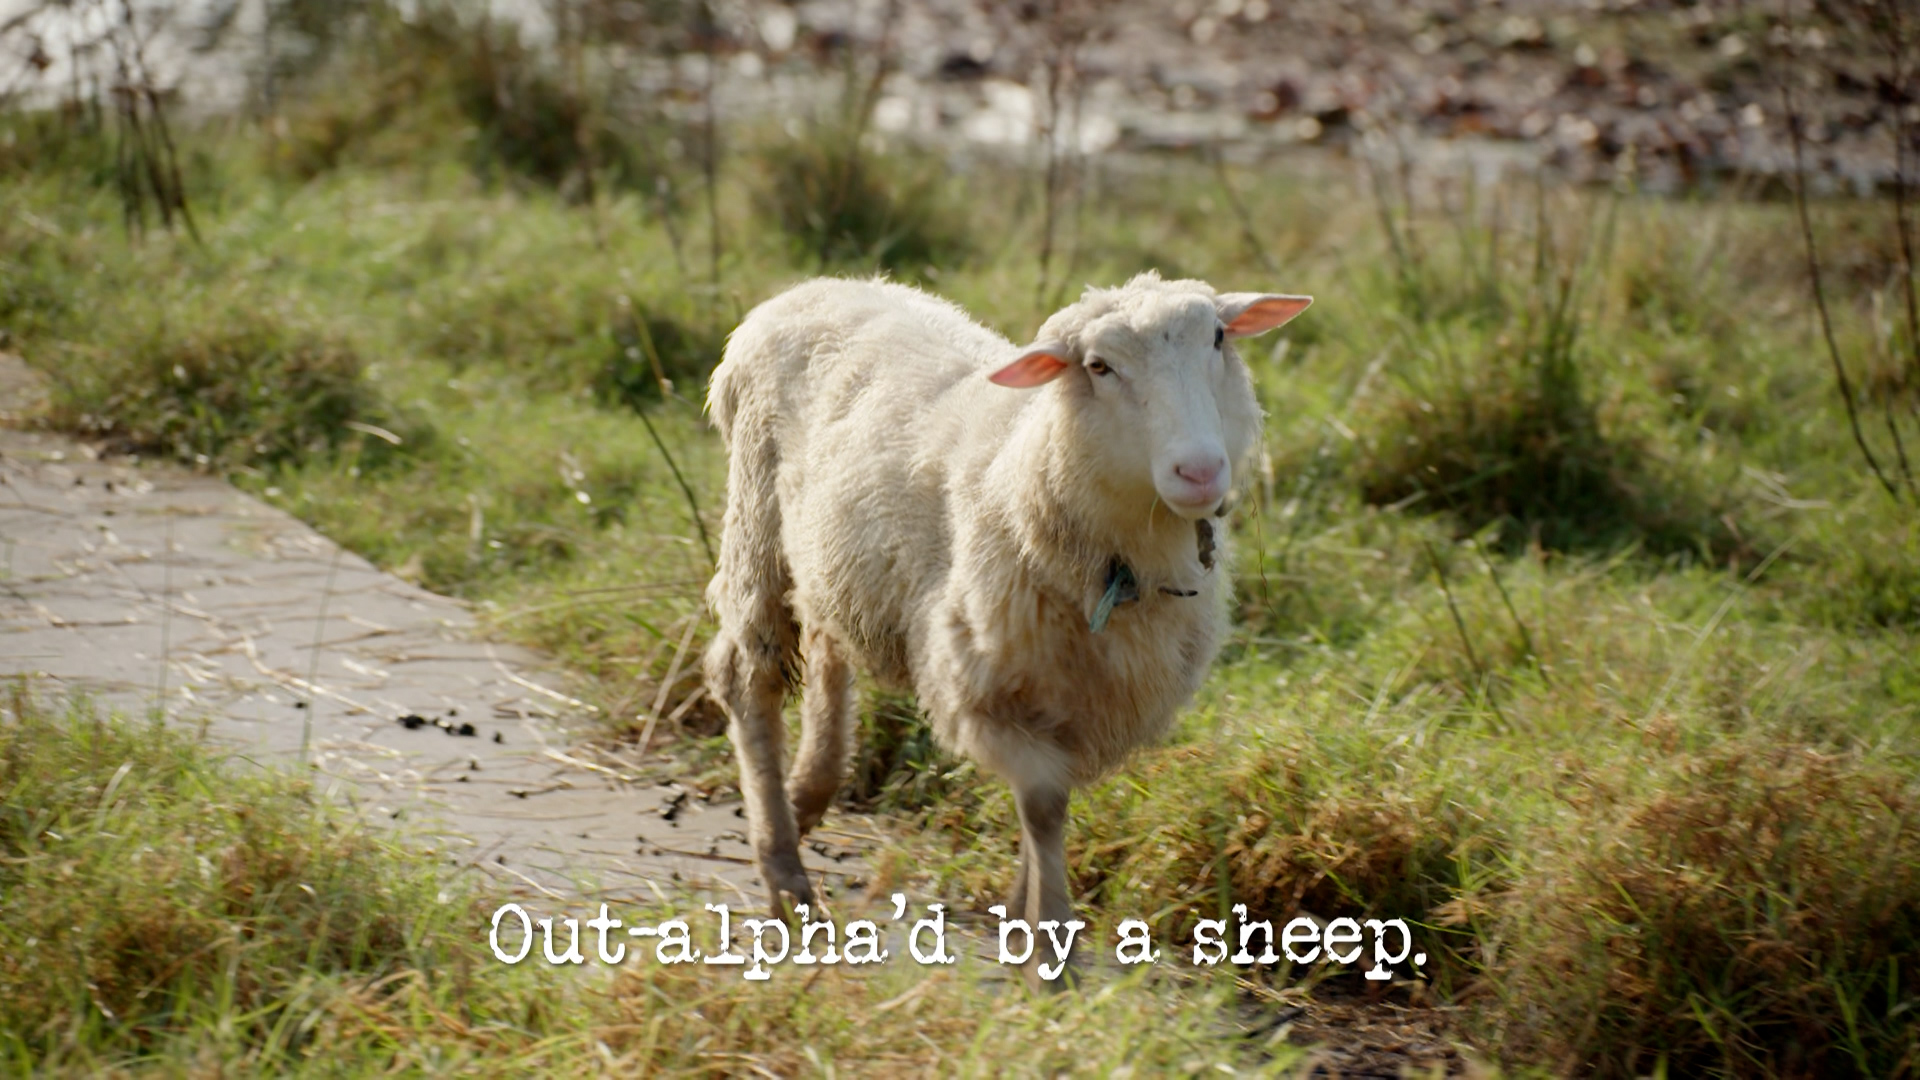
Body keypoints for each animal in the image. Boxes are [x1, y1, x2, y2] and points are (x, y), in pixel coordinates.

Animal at [701, 272, 1311, 985]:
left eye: (1217, 338)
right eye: (1098, 366)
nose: (1201, 472)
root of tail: (806, 289)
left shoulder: (1087, 694)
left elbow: (1053, 800)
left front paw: (1025, 911)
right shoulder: (976, 684)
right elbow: (1044, 804)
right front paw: (1051, 946)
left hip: (831, 558)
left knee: (829, 646)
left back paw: (803, 798)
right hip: (755, 522)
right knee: (748, 681)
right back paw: (785, 872)